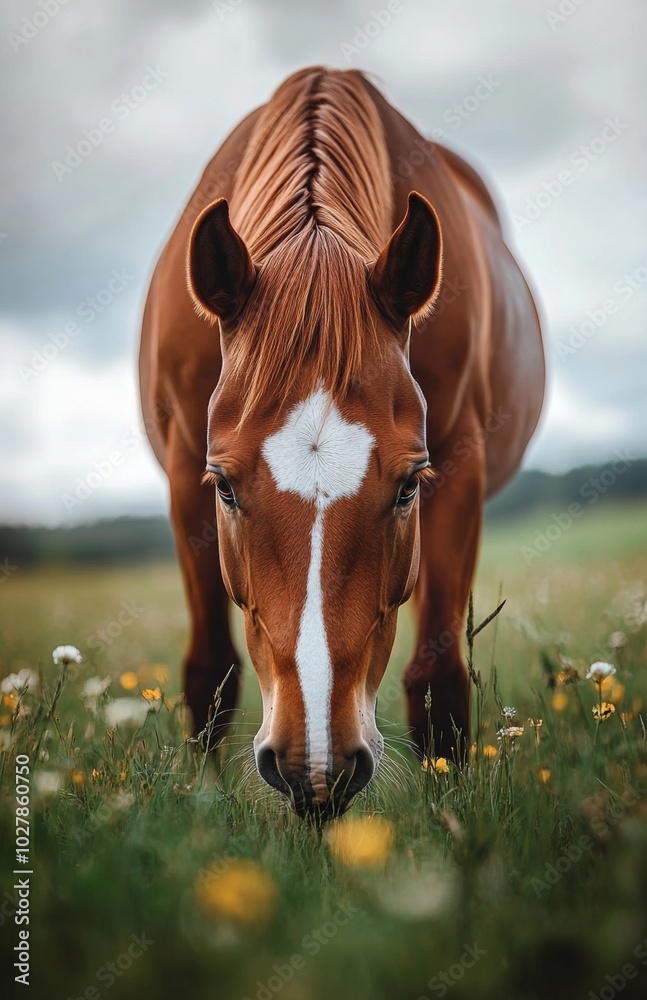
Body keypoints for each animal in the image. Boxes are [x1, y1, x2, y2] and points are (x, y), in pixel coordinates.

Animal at [139, 67, 544, 818]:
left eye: (408, 485)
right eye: (225, 487)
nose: (316, 768)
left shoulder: (457, 470)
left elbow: (439, 681)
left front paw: (448, 818)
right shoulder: (185, 473)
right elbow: (210, 672)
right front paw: (204, 805)